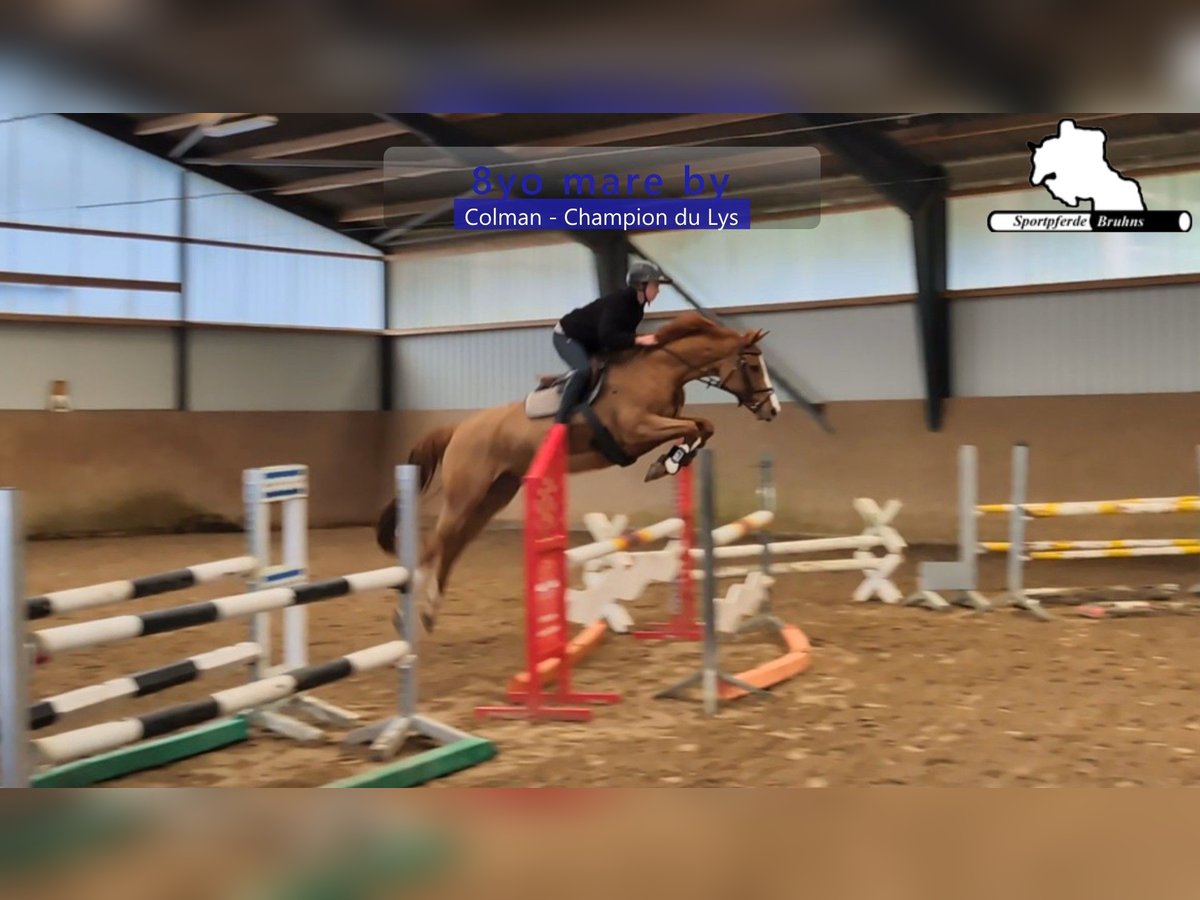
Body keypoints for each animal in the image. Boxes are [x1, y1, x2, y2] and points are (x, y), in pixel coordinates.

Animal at [377, 310, 781, 632]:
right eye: (751, 366)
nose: (772, 409)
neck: (660, 370)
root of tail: (459, 428)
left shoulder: (660, 424)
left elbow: (702, 425)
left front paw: (671, 461)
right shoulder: (637, 430)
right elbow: (694, 427)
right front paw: (665, 462)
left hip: (494, 495)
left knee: (453, 545)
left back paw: (429, 612)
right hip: (466, 494)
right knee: (436, 543)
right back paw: (408, 612)